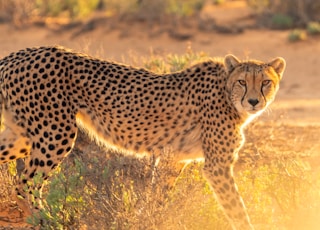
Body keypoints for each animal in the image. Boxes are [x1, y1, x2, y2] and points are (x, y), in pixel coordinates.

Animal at [0, 45, 284, 229]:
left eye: (265, 82)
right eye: (242, 81)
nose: (253, 101)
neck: (227, 93)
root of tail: (17, 54)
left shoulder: (173, 159)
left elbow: (157, 199)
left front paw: (147, 220)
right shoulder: (217, 166)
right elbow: (237, 208)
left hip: (23, 135)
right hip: (56, 133)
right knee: (25, 182)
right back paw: (47, 220)